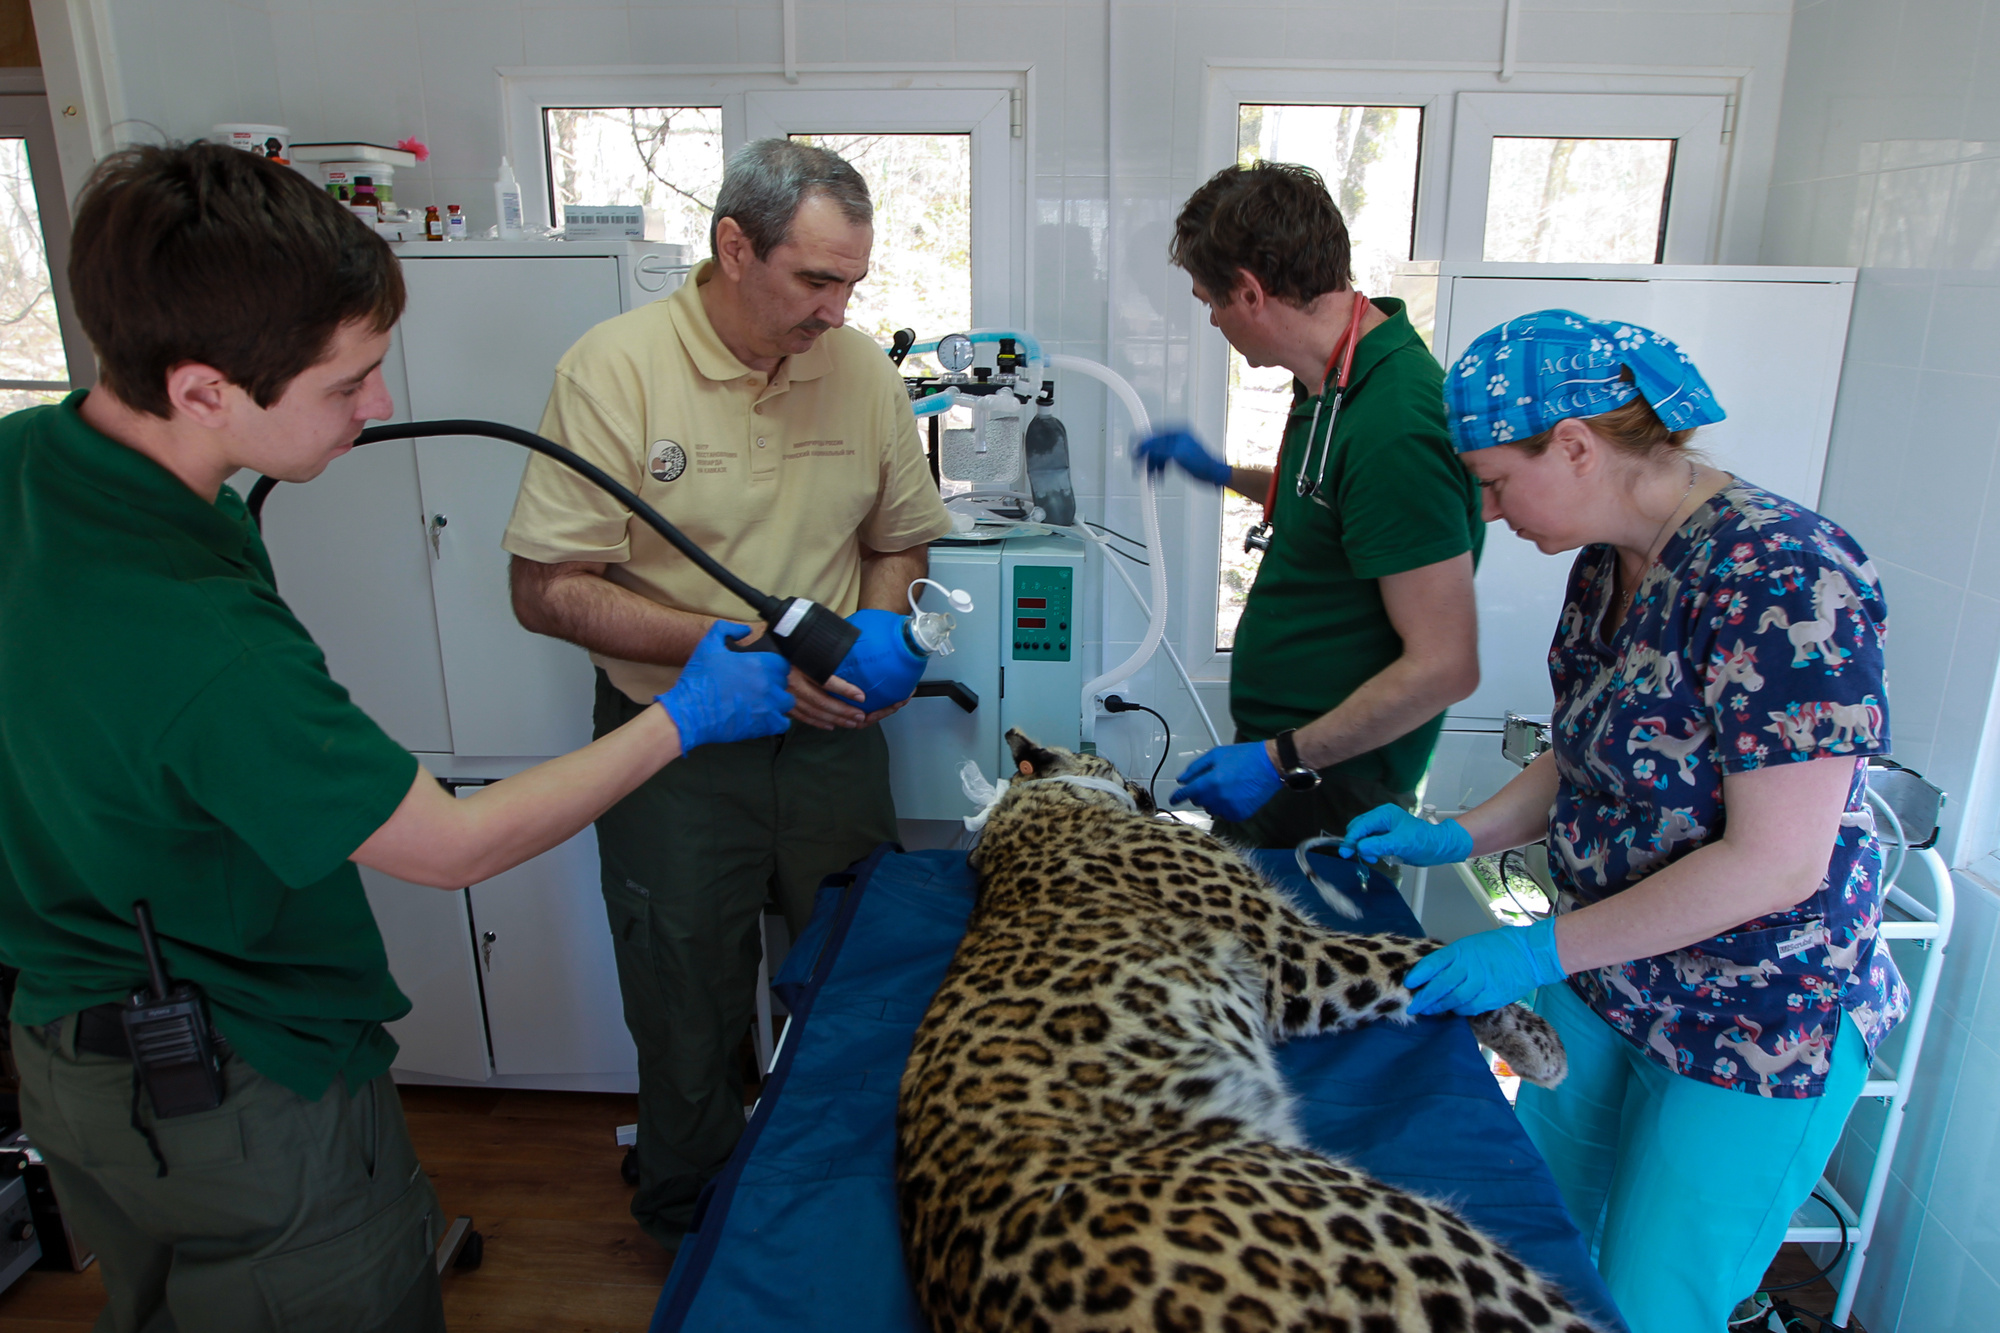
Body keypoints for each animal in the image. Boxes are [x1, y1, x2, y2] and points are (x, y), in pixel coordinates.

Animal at [900, 732, 1600, 1320]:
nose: (1151, 790)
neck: (1039, 806)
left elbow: (1421, 967)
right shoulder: (1294, 957)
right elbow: (1414, 951)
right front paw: (1536, 1035)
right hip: (1404, 1234)